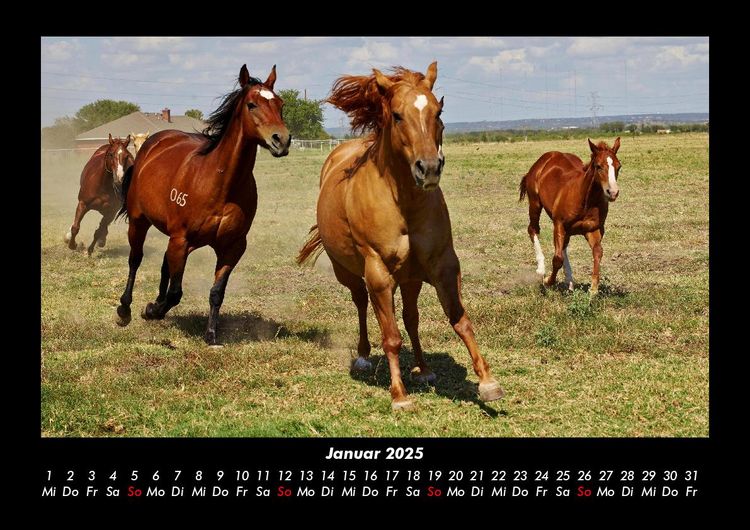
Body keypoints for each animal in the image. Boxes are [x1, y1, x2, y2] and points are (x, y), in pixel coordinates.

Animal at [115, 64, 291, 345]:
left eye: (280, 104)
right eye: (252, 104)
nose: (281, 140)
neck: (220, 184)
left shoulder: (232, 247)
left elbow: (216, 292)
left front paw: (211, 334)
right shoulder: (181, 239)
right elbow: (175, 292)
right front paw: (152, 310)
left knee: (164, 265)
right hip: (140, 222)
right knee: (135, 259)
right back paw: (125, 309)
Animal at [297, 63, 504, 411]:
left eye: (438, 111)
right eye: (396, 115)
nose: (429, 168)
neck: (403, 203)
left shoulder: (443, 265)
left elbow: (459, 320)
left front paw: (488, 382)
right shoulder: (379, 273)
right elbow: (391, 337)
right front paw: (399, 395)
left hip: (410, 279)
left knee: (411, 318)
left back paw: (423, 369)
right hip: (350, 273)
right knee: (362, 304)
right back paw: (364, 357)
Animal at [518, 137, 621, 294]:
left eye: (618, 166)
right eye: (598, 166)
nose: (613, 192)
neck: (585, 200)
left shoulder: (594, 229)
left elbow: (598, 252)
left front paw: (593, 289)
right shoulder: (559, 224)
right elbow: (557, 258)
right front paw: (548, 281)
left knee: (564, 245)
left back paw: (570, 281)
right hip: (535, 203)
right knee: (533, 229)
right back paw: (541, 269)